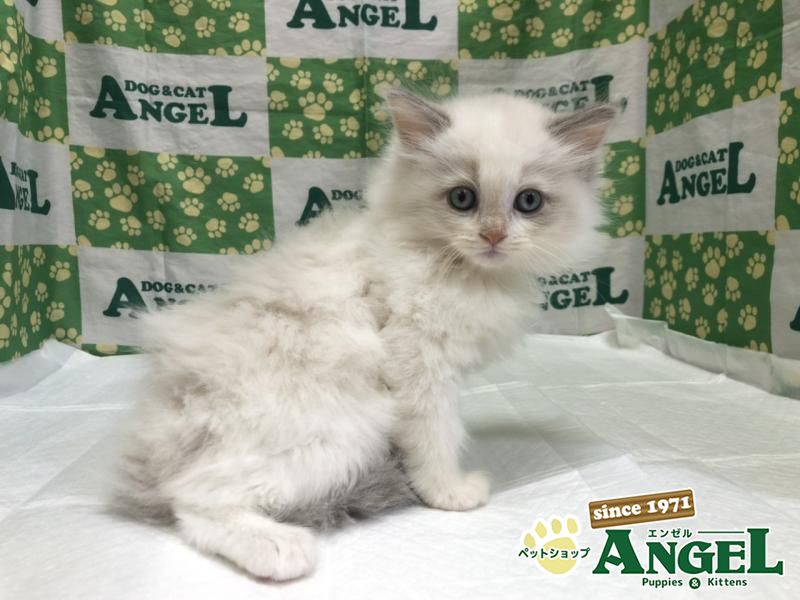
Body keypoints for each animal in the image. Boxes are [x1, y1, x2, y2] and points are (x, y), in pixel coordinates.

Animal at [115, 90, 614, 581]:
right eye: (462, 198)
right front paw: (447, 492)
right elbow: (435, 438)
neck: (453, 267)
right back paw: (279, 549)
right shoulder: (420, 365)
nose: (493, 236)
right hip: (347, 426)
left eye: (528, 202)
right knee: (193, 501)